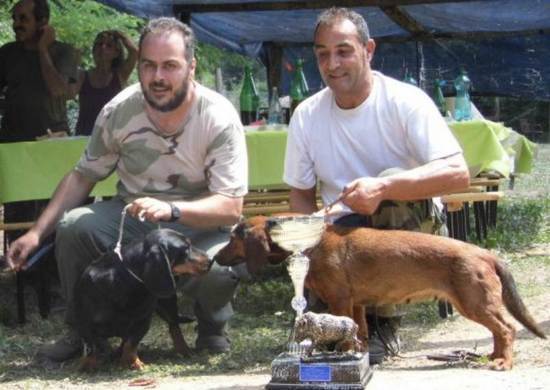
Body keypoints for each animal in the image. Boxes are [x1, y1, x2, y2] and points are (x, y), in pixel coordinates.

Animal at [73, 227, 211, 370]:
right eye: (186, 248)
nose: (211, 260)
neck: (124, 280)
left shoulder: (142, 322)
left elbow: (131, 344)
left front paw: (132, 362)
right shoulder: (83, 323)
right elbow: (90, 346)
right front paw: (88, 365)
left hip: (168, 305)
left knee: (174, 325)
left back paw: (184, 349)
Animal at [216, 216, 548, 372]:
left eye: (233, 238)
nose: (215, 258)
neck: (311, 245)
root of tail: (485, 253)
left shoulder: (340, 301)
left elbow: (345, 336)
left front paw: (342, 355)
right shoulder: (356, 305)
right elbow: (360, 334)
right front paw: (359, 355)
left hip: (474, 303)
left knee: (507, 329)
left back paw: (503, 362)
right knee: (499, 331)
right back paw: (493, 356)